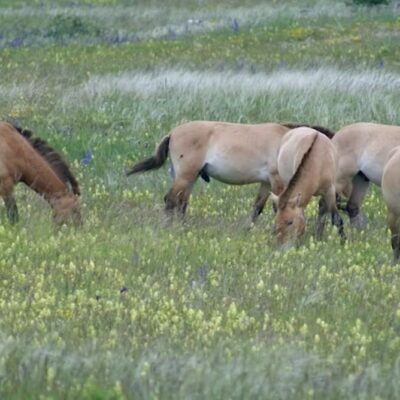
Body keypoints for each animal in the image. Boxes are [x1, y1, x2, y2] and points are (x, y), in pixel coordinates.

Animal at [127, 121, 334, 222]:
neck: (288, 142)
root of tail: (172, 133)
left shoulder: (266, 182)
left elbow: (257, 208)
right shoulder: (277, 181)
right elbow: (276, 207)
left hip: (189, 177)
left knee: (181, 202)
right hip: (185, 176)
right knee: (171, 200)